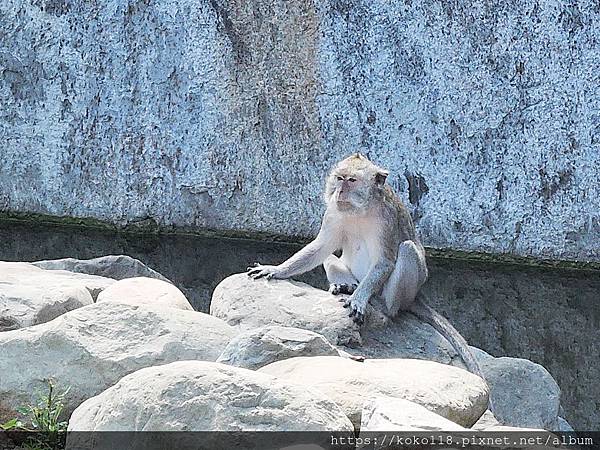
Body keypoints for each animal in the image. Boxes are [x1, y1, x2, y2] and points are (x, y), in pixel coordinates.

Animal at [246, 153, 486, 382]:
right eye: (339, 178)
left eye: (352, 181)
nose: (340, 191)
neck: (360, 210)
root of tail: (417, 296)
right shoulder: (332, 212)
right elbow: (321, 247)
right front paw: (276, 269)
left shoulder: (386, 219)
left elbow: (385, 261)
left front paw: (359, 299)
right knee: (330, 258)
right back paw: (346, 286)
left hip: (410, 288)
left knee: (407, 250)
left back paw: (383, 305)